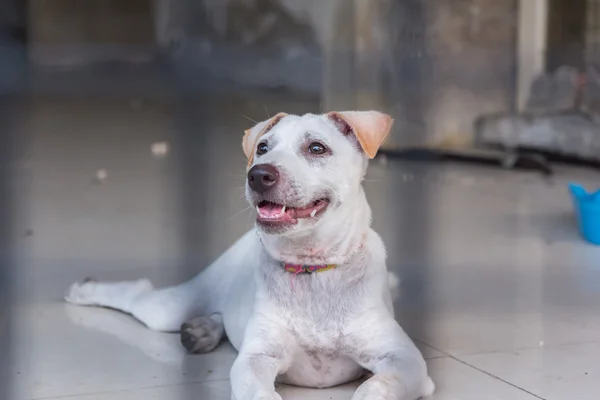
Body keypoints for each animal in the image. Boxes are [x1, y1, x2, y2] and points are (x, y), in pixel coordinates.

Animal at [64, 110, 432, 400]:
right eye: (262, 148)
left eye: (317, 148)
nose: (258, 174)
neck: (312, 268)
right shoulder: (255, 359)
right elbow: (255, 388)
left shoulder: (406, 361)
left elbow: (377, 385)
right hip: (171, 307)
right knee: (139, 292)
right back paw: (87, 290)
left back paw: (203, 330)